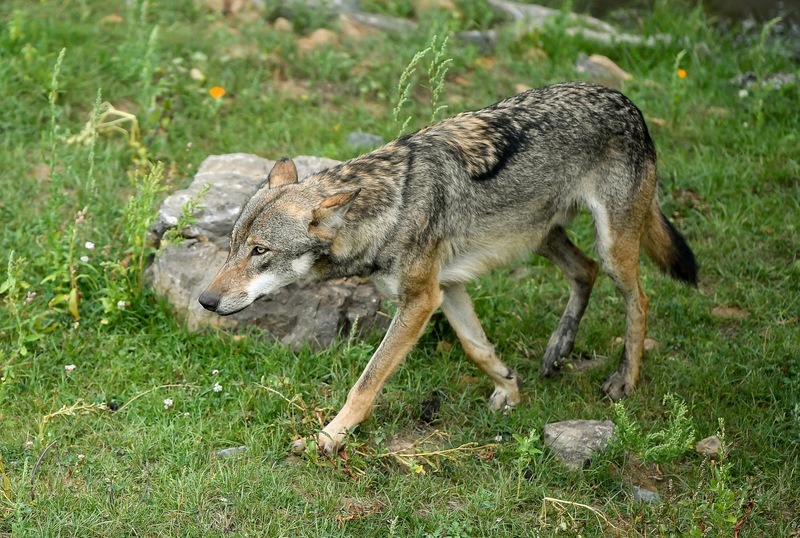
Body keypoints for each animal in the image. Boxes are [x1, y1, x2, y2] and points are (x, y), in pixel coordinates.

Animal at [199, 82, 698, 453]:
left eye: (260, 251)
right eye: (233, 245)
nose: (205, 300)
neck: (391, 207)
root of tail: (627, 101)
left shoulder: (420, 299)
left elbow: (366, 382)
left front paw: (329, 438)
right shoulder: (447, 287)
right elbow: (477, 348)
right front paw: (510, 390)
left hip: (611, 247)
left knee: (639, 298)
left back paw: (624, 380)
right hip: (539, 237)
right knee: (584, 271)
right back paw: (558, 349)